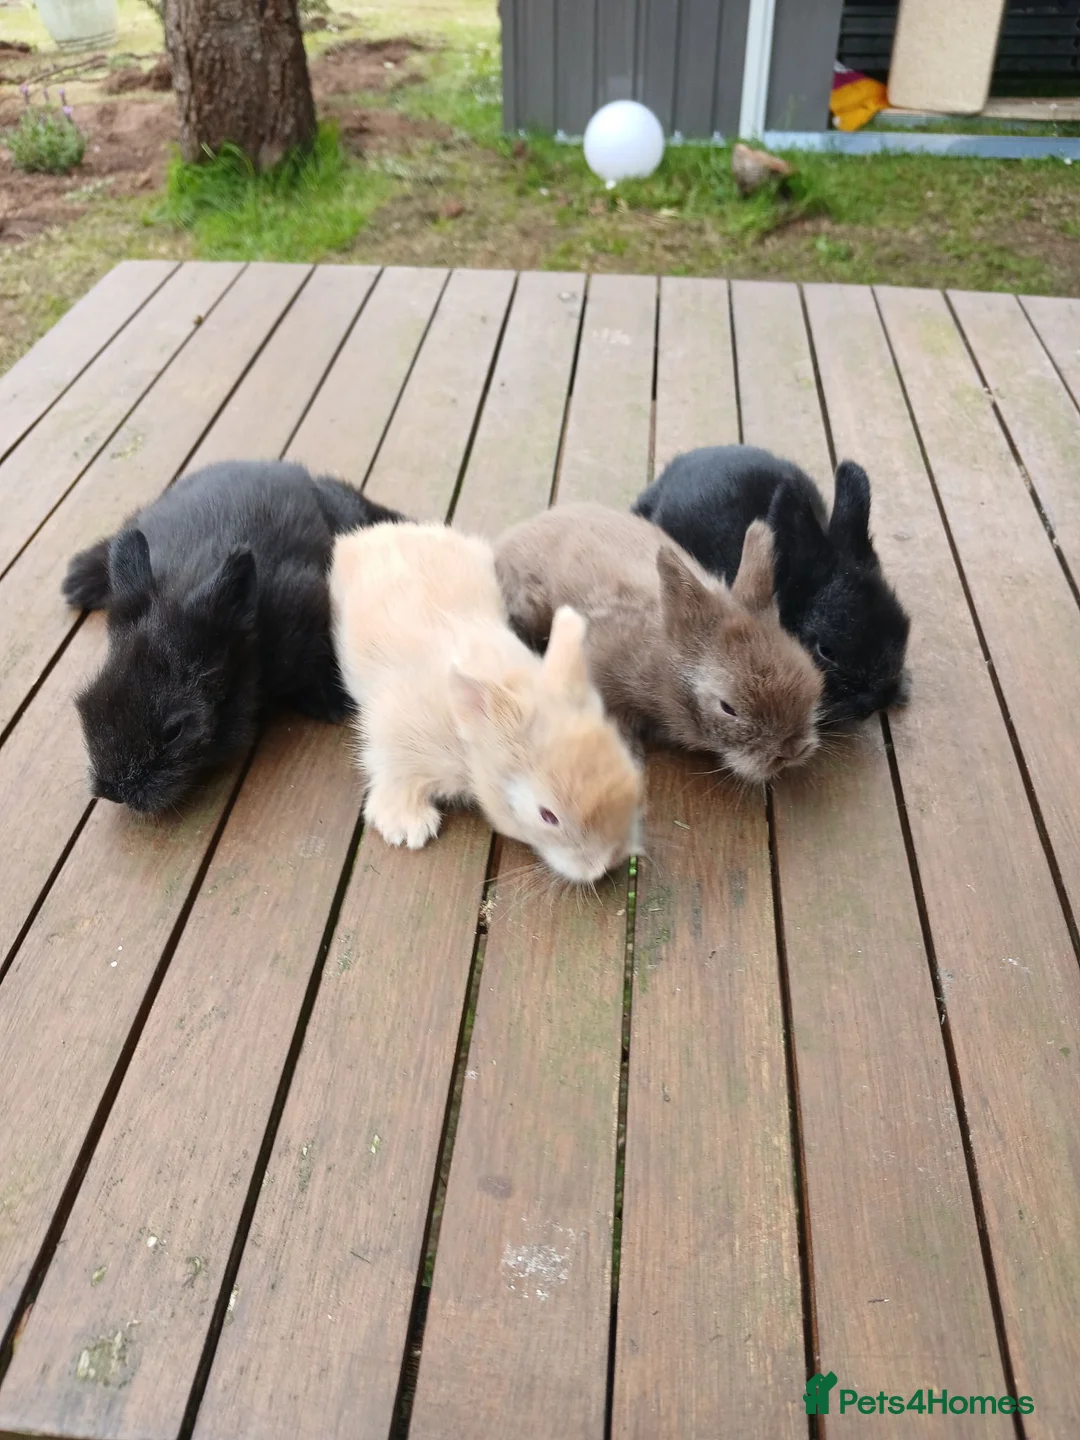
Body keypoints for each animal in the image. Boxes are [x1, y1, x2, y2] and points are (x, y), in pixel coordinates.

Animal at [63, 459, 406, 815]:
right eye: (88, 700)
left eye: (175, 730)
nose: (114, 791)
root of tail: (283, 468)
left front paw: (333, 703)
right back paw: (78, 579)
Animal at [329, 520, 644, 884]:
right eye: (547, 816)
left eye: (627, 767)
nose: (605, 863)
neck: (469, 743)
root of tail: (380, 532)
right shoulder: (392, 735)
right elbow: (392, 770)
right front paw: (408, 826)